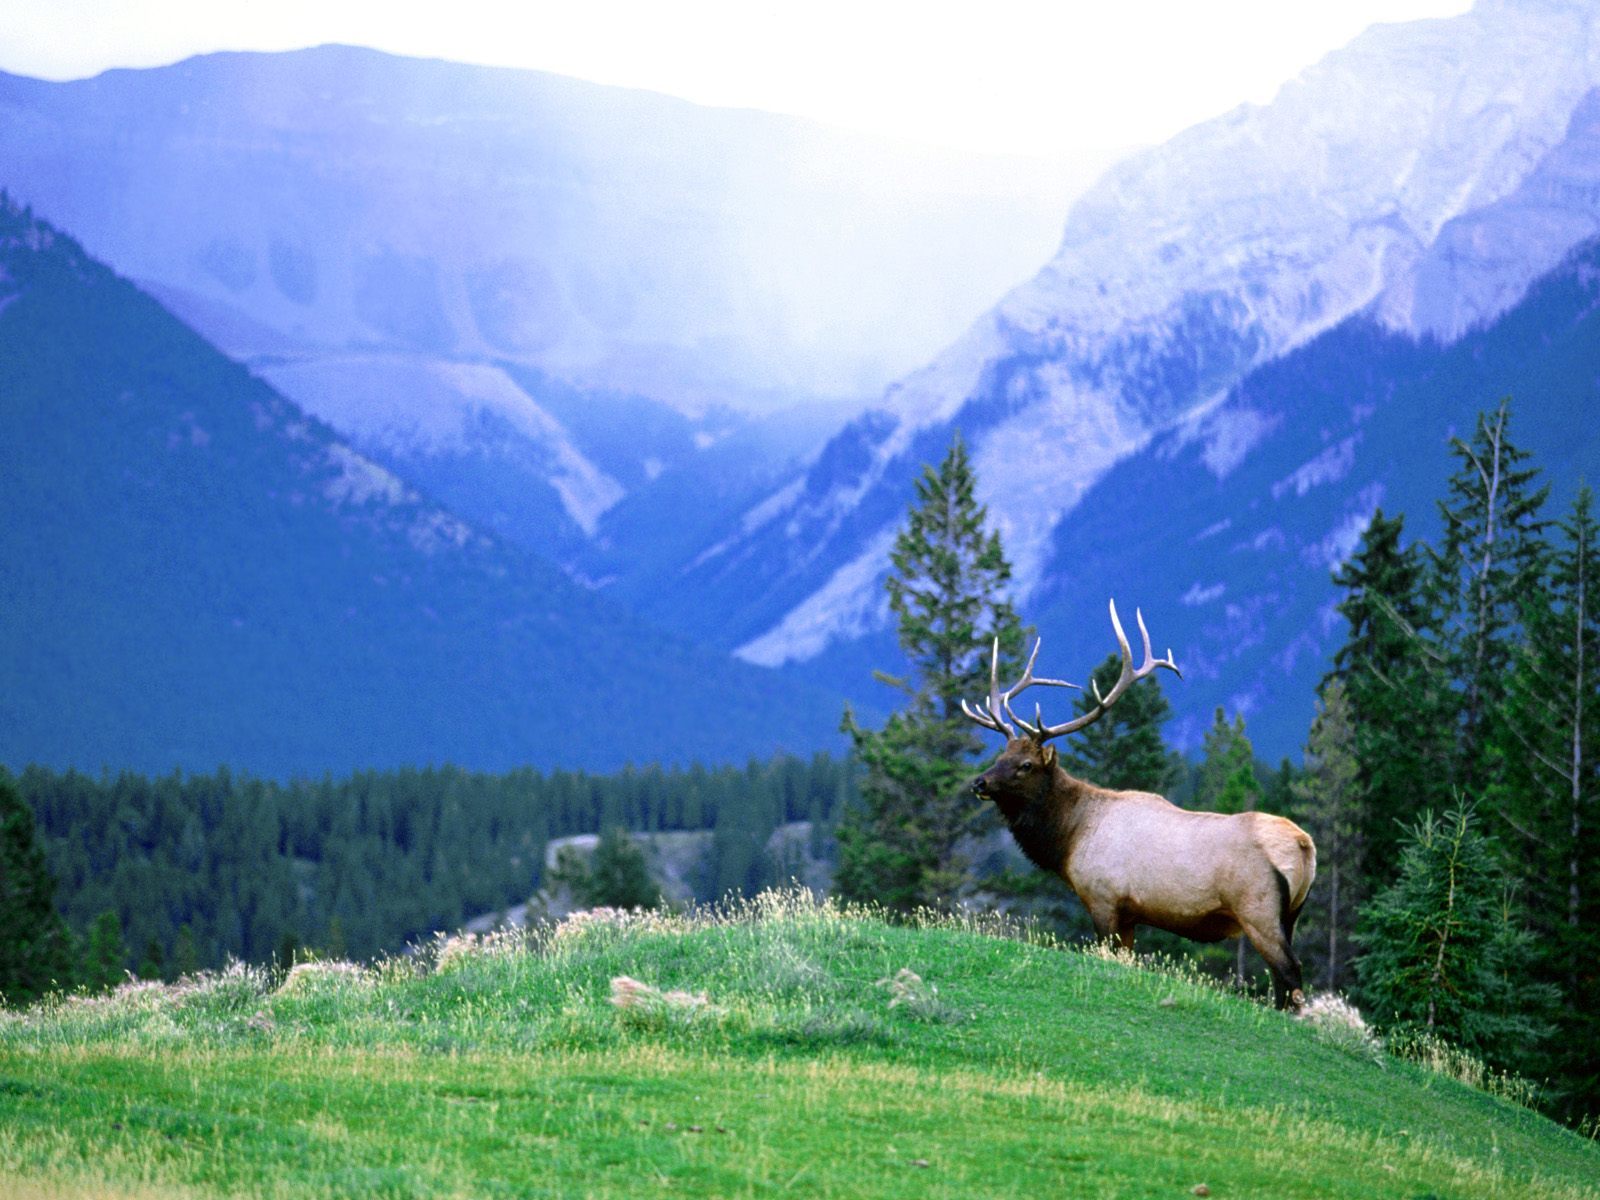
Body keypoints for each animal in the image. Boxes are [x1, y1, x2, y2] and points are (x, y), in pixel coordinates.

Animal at [964, 600, 1316, 1010]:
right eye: (1000, 754)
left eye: (1026, 765)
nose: (979, 782)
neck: (1070, 839)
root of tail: (1304, 845)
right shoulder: (1130, 913)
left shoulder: (1104, 898)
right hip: (1292, 914)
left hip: (1258, 909)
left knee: (1289, 971)